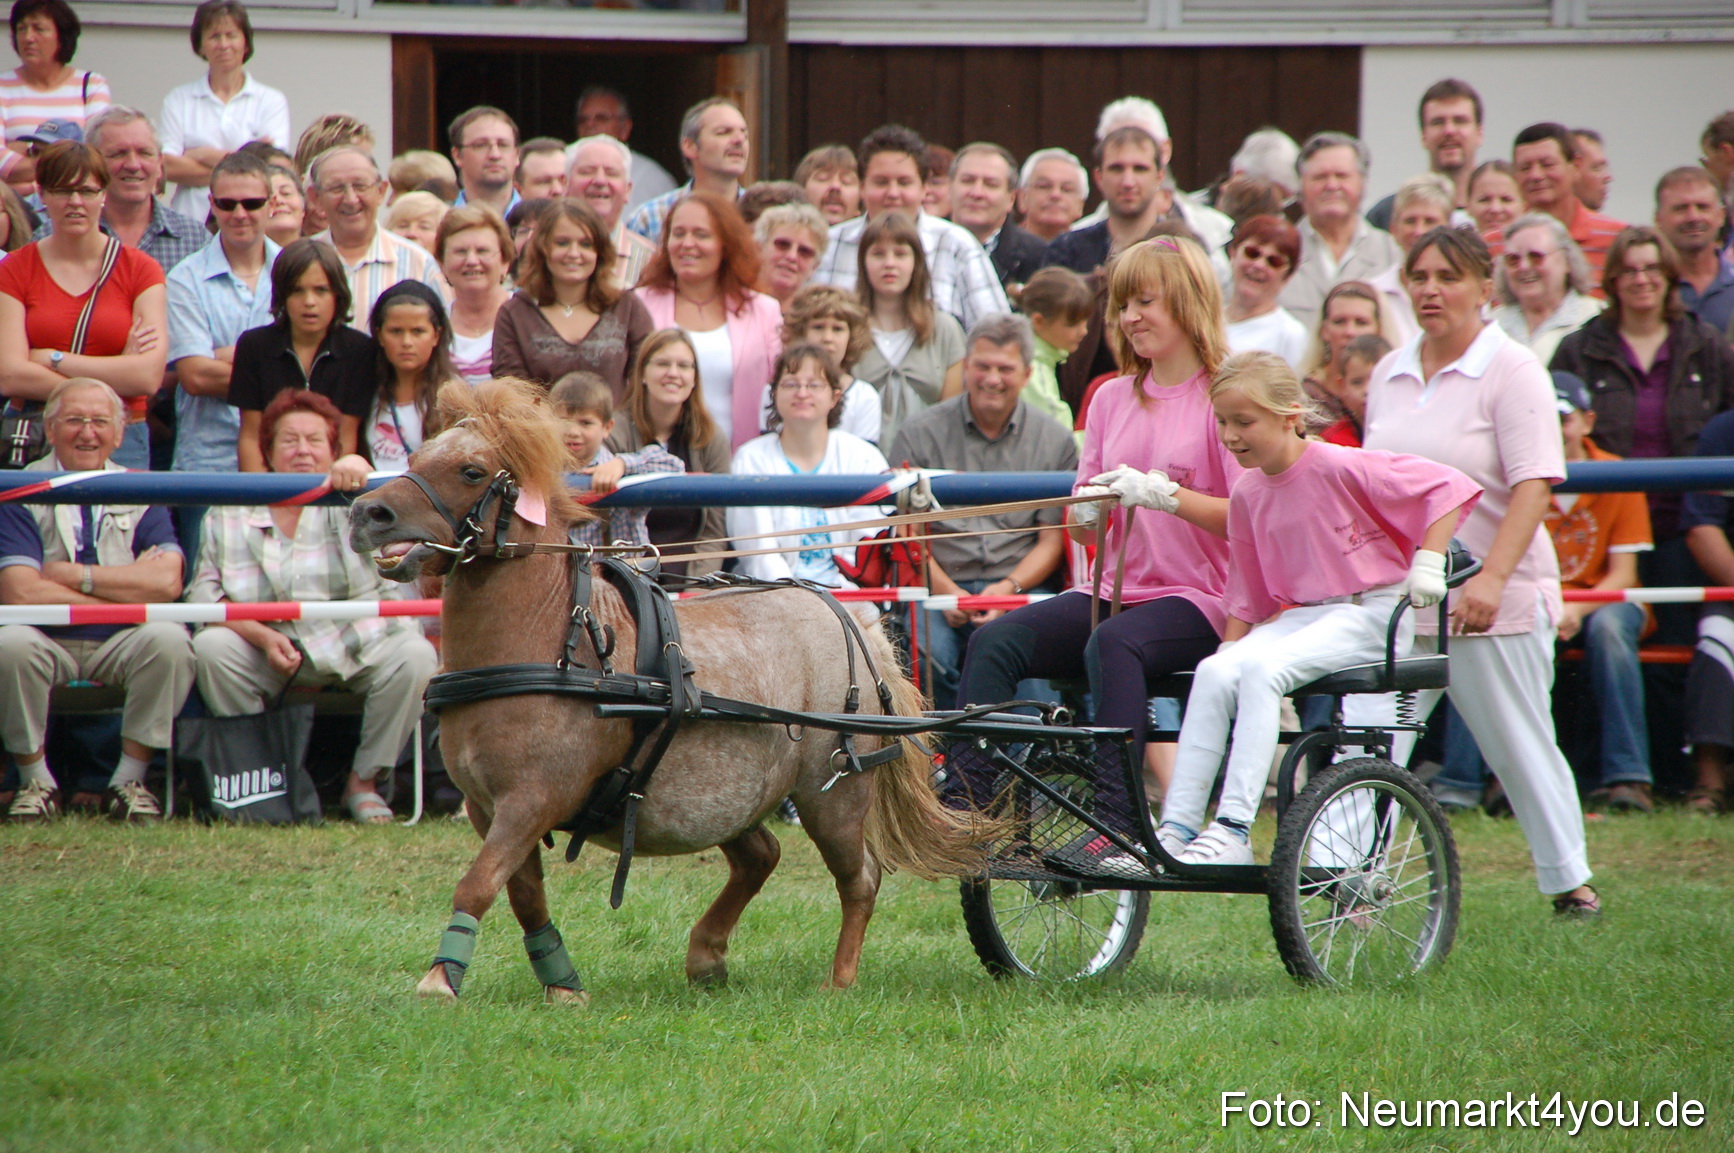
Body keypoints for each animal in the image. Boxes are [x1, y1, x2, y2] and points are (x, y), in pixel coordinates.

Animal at [349, 377, 991, 1003]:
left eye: (471, 471)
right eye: (415, 456)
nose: (365, 512)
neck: (553, 641)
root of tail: (849, 617)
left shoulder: (531, 799)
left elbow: (479, 883)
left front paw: (440, 978)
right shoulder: (489, 808)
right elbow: (522, 895)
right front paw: (561, 982)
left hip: (830, 794)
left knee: (859, 879)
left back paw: (839, 981)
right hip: (734, 797)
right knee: (762, 858)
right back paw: (706, 956)